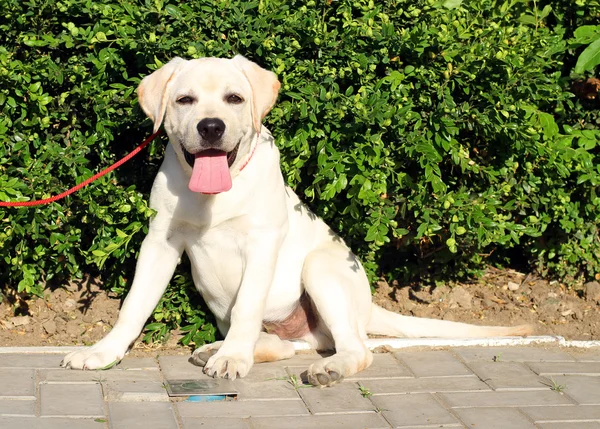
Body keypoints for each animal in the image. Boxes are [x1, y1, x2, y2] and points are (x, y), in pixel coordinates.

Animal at [62, 55, 528, 386]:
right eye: (184, 100)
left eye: (234, 99)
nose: (211, 127)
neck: (215, 194)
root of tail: (368, 307)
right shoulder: (160, 242)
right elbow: (134, 305)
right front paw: (102, 352)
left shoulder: (262, 242)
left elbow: (248, 304)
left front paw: (233, 359)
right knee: (287, 344)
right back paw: (217, 348)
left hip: (320, 268)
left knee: (355, 348)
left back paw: (318, 367)